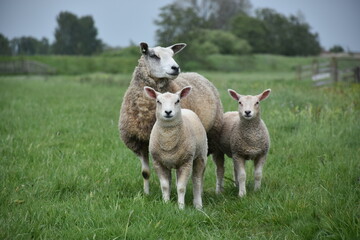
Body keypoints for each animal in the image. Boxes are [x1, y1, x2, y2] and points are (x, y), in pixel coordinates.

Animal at [119, 42, 224, 194]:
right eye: (153, 55)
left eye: (172, 54)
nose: (176, 68)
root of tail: (196, 74)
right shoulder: (140, 143)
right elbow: (146, 173)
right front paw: (146, 194)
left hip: (213, 134)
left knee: (215, 166)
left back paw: (216, 191)